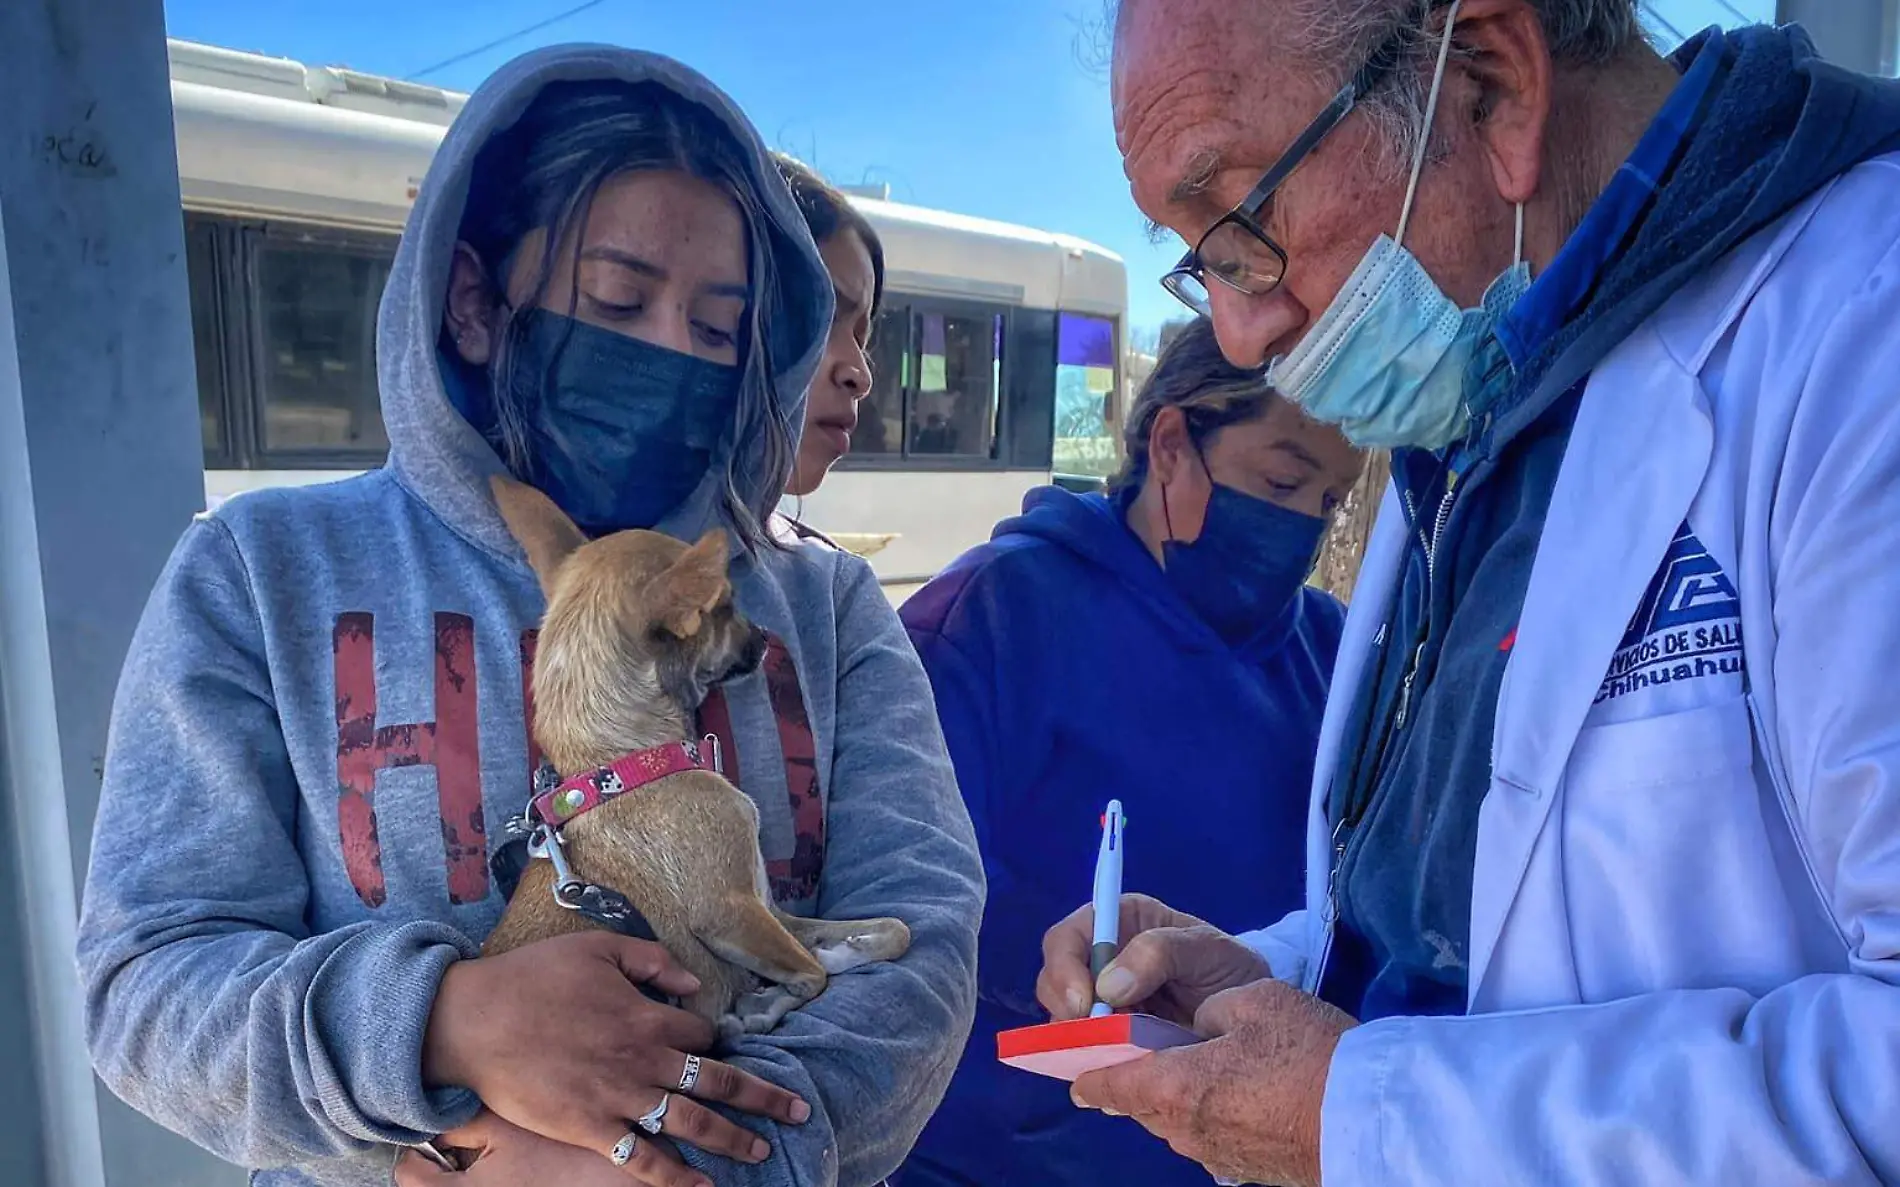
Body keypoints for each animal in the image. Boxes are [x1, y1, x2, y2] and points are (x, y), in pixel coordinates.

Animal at [482, 474, 912, 1033]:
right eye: (723, 607)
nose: (763, 638)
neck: (627, 764)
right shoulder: (729, 912)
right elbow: (811, 972)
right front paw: (762, 1007)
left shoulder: (772, 911)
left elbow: (890, 931)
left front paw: (842, 951)